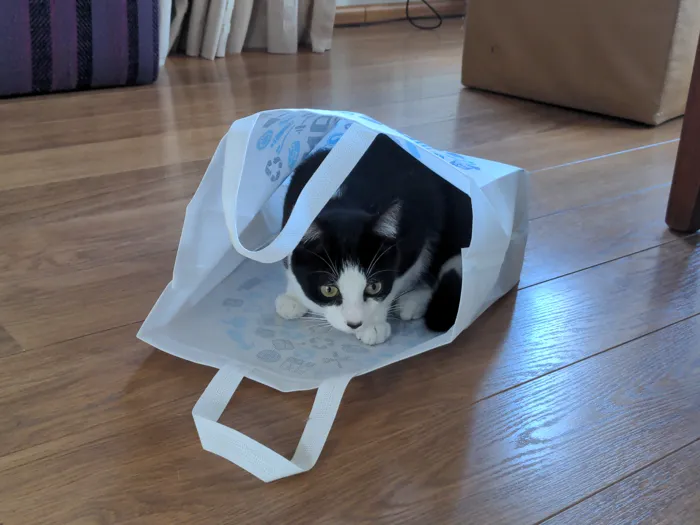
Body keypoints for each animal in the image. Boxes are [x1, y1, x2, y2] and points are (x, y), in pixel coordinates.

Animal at [274, 133, 470, 344]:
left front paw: (373, 324)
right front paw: (293, 297)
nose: (354, 323)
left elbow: (396, 278)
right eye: (329, 290)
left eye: (374, 287)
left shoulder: (415, 230)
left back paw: (413, 301)